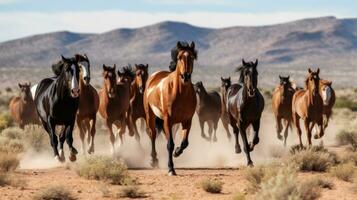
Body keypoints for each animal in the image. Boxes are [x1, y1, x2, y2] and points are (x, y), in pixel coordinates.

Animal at [143, 41, 197, 176]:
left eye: (192, 57)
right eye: (179, 57)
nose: (185, 76)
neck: (180, 93)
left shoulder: (187, 121)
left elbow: (184, 143)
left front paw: (177, 152)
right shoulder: (168, 120)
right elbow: (170, 144)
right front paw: (171, 169)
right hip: (150, 116)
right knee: (152, 135)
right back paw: (154, 161)